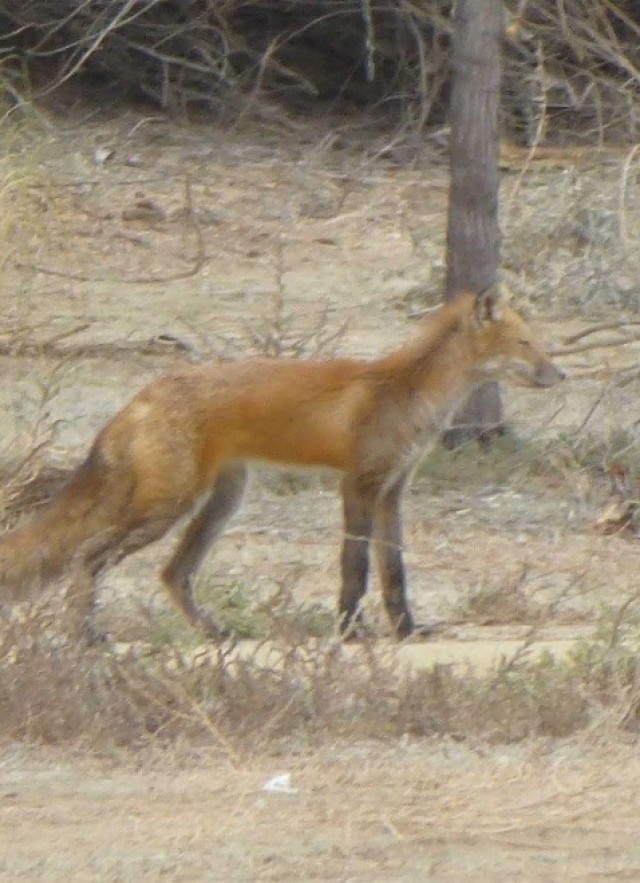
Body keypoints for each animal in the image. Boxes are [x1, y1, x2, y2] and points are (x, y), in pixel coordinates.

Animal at [0, 290, 560, 644]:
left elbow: (393, 572)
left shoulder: (393, 490)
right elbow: (354, 569)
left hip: (223, 500)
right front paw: (351, 633)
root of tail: (141, 395)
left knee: (172, 573)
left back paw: (212, 634)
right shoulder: (358, 485)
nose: (561, 374)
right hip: (167, 505)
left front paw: (407, 631)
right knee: (89, 557)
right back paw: (87, 637)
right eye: (526, 344)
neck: (408, 394)